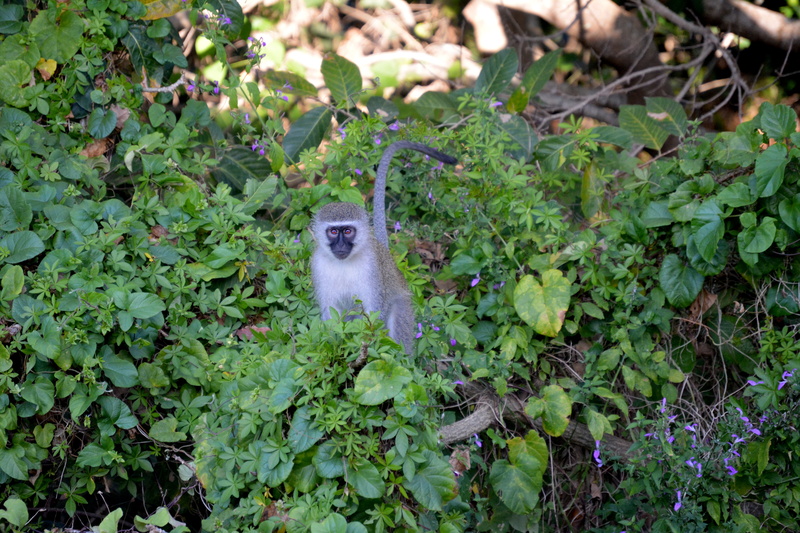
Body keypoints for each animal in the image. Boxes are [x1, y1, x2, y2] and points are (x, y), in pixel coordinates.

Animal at [310, 140, 458, 354]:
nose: (340, 245)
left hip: (402, 304)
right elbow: (331, 315)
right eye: (333, 231)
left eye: (348, 231)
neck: (345, 263)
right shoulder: (318, 265)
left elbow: (374, 312)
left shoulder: (373, 266)